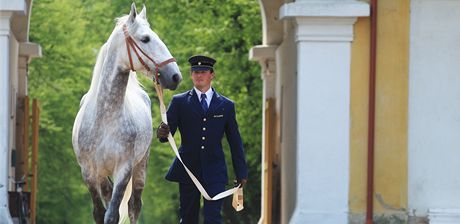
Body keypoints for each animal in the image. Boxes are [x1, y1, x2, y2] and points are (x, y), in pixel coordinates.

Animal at [72, 3, 181, 224]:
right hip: (104, 176)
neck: (105, 118)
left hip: (140, 169)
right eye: (145, 38)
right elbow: (100, 213)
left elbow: (113, 214)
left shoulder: (124, 170)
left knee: (134, 206)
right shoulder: (90, 173)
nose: (175, 76)